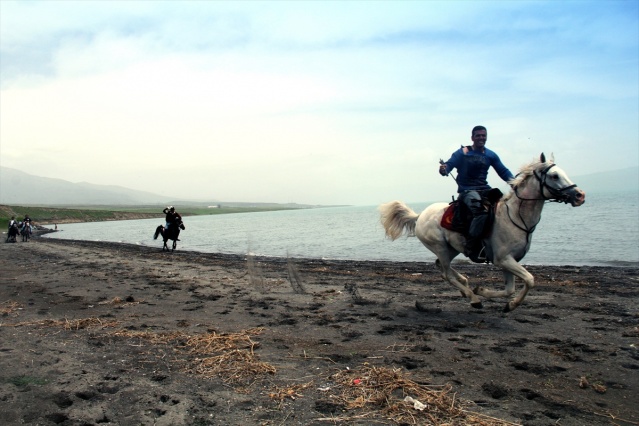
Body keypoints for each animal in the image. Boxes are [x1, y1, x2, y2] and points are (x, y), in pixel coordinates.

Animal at [380, 154, 584, 312]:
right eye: (554, 176)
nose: (580, 195)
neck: (515, 217)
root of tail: (420, 215)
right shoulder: (503, 259)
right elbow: (530, 279)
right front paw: (509, 304)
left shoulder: (509, 261)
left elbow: (509, 289)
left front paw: (488, 294)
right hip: (440, 247)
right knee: (446, 273)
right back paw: (473, 298)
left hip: (452, 248)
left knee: (442, 267)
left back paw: (466, 285)